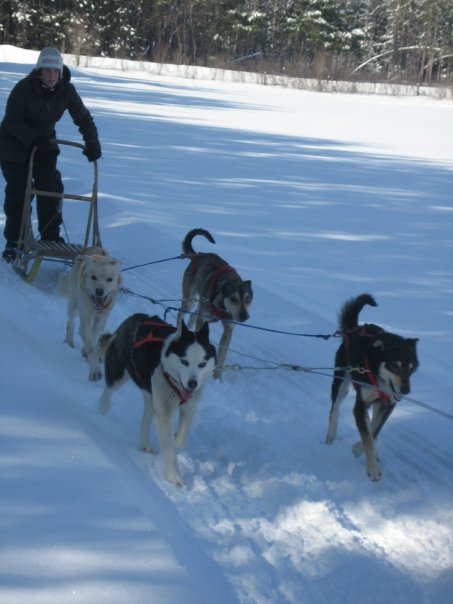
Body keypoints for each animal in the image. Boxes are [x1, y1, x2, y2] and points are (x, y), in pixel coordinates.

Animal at [61, 244, 122, 378]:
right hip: (73, 304)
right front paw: (95, 370)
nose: (99, 291)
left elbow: (94, 336)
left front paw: (85, 351)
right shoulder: (85, 320)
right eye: (93, 277)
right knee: (71, 322)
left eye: (109, 279)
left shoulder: (100, 319)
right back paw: (68, 341)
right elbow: (90, 346)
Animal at [324, 294, 416, 482]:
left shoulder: (388, 405)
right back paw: (330, 436)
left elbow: (373, 432)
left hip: (375, 403)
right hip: (341, 383)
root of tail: (353, 329)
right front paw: (372, 468)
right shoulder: (360, 406)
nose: (406, 390)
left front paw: (362, 451)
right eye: (394, 366)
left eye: (411, 368)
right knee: (335, 410)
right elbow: (367, 435)